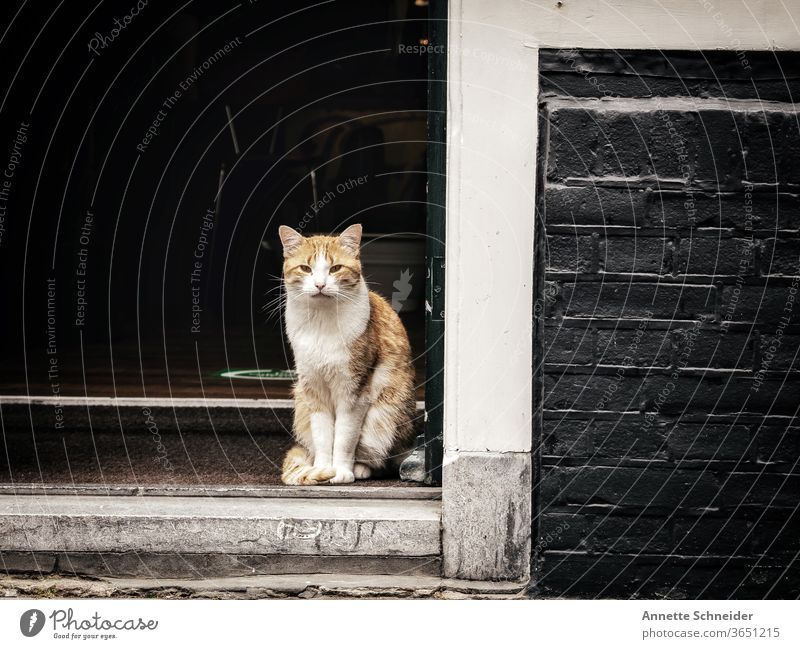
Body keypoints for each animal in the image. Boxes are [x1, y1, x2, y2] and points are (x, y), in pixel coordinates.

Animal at [278, 223, 416, 480]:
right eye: (305, 268)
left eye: (335, 268)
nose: (320, 285)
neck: (322, 323)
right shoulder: (314, 389)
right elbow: (323, 435)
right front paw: (323, 468)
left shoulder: (354, 390)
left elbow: (345, 437)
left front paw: (341, 471)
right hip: (301, 400)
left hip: (387, 410)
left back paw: (360, 468)